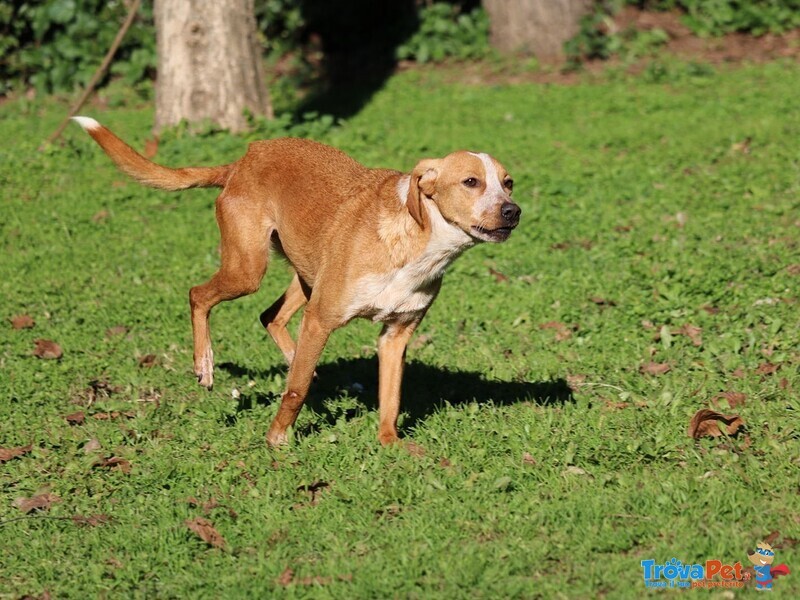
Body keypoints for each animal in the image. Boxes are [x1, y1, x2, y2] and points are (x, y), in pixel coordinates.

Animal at [75, 117, 520, 446]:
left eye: (508, 182)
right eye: (470, 182)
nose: (513, 211)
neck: (417, 239)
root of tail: (242, 160)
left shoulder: (396, 335)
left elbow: (391, 399)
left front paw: (391, 445)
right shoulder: (322, 318)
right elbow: (296, 390)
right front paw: (276, 441)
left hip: (305, 278)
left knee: (270, 316)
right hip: (248, 270)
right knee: (198, 295)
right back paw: (205, 364)